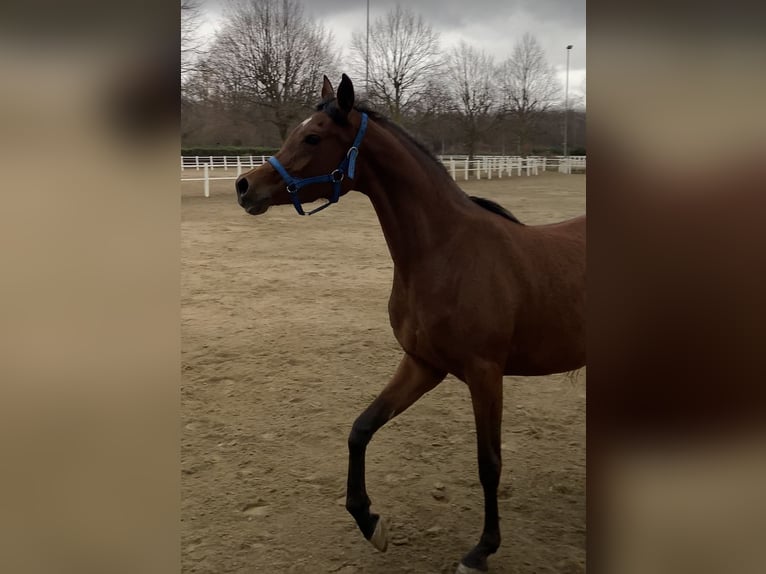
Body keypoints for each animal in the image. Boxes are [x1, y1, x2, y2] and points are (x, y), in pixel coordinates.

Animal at [235, 74, 586, 573]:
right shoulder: (423, 364)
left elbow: (489, 463)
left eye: (313, 137)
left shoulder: (485, 373)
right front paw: (369, 521)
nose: (245, 186)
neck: (445, 253)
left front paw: (481, 550)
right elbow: (361, 428)